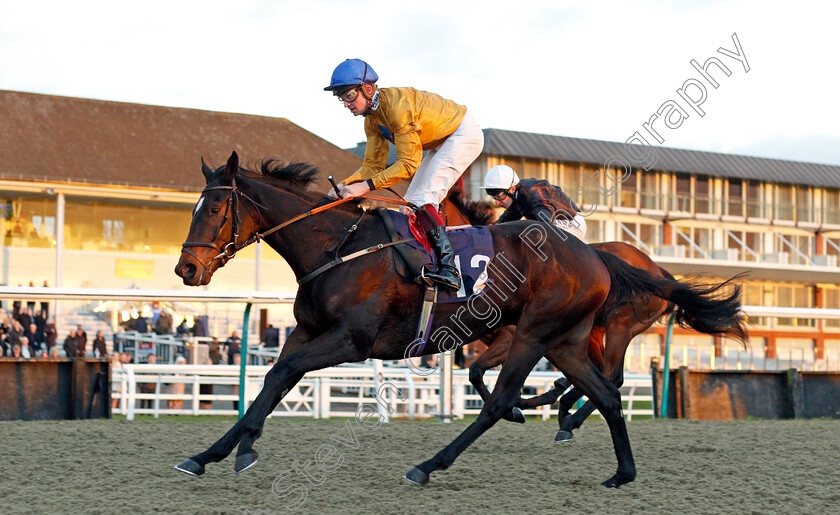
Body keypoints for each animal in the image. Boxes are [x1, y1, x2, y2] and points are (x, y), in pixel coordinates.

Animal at [440, 185, 748, 440]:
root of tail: (659, 270)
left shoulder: (512, 338)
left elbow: (477, 371)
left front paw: (515, 410)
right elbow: (477, 372)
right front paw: (519, 407)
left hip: (620, 326)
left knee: (613, 377)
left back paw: (567, 418)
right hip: (594, 332)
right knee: (597, 373)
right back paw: (558, 403)